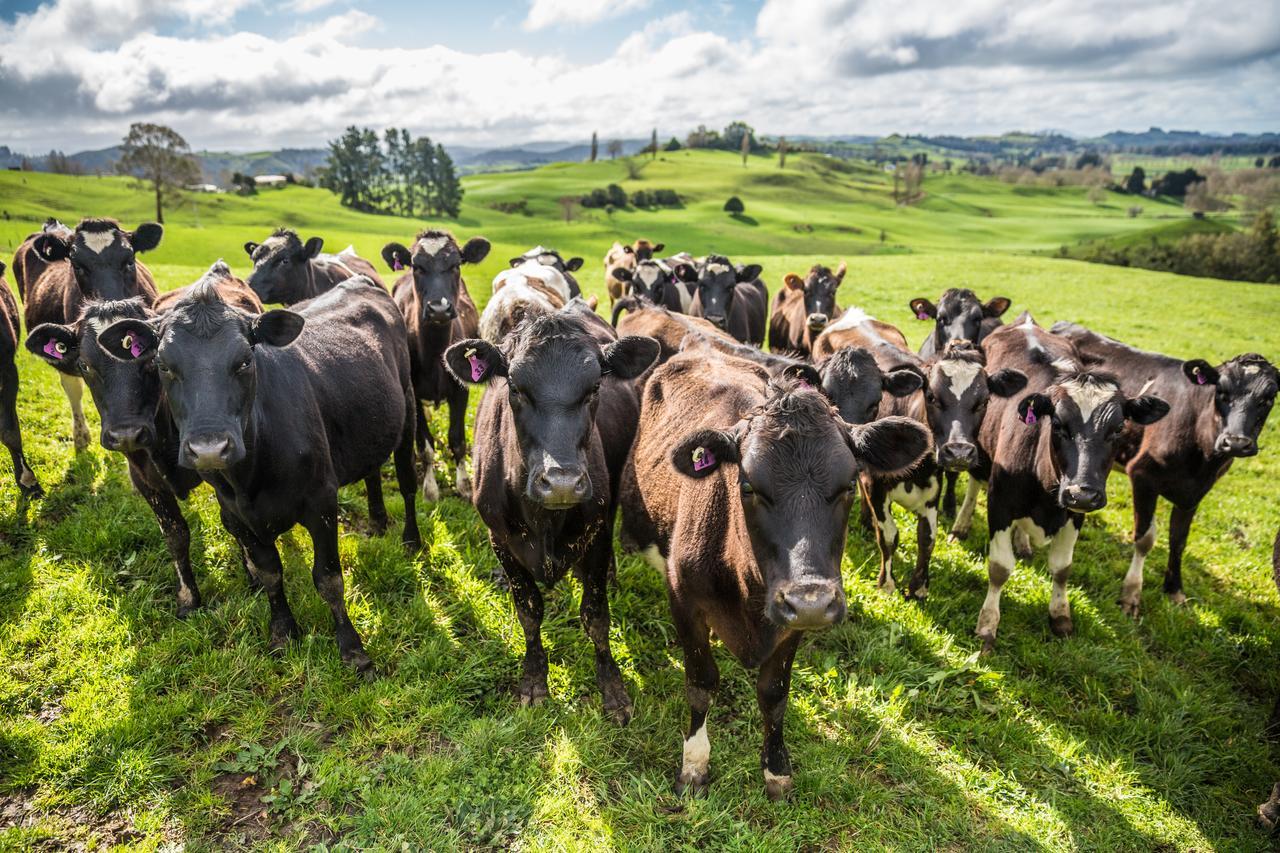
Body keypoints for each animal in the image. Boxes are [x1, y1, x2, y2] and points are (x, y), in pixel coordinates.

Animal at [442, 302, 660, 722]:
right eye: (514, 387)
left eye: (595, 388)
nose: (561, 482)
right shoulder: (500, 538)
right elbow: (528, 611)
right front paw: (533, 681)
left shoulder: (596, 533)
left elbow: (596, 615)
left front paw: (613, 689)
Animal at [616, 345, 926, 799]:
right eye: (747, 485)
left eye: (850, 483)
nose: (811, 600)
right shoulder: (683, 599)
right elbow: (701, 684)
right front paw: (694, 765)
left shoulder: (793, 620)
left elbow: (774, 693)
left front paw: (776, 769)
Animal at [1054, 318, 1274, 612]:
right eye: (1221, 391)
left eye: (1269, 398)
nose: (1236, 442)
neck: (1202, 459)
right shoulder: (1143, 476)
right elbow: (1145, 538)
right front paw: (1131, 594)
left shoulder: (1195, 492)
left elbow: (1179, 540)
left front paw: (1174, 589)